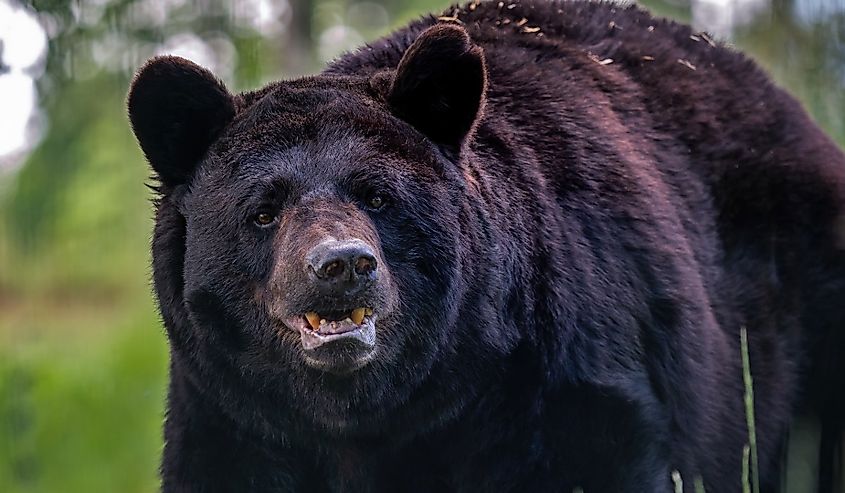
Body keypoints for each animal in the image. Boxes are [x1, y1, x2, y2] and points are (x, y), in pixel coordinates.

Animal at [127, 1, 844, 490]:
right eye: (263, 210)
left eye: (377, 195)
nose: (342, 265)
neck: (371, 414)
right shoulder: (235, 416)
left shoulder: (558, 382)